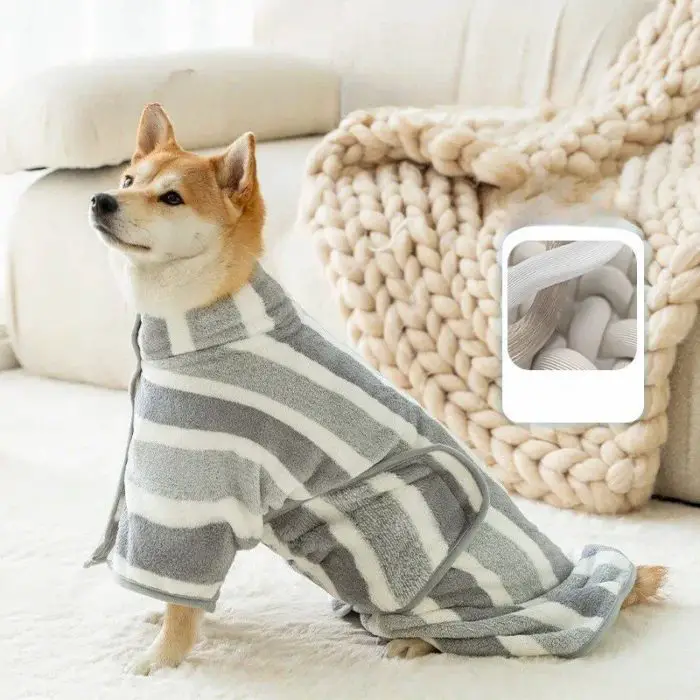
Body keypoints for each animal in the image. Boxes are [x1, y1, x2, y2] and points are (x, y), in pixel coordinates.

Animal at [85, 102, 664, 672]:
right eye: (129, 179)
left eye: (172, 197)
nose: (100, 198)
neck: (200, 320)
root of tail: (563, 580)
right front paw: (162, 625)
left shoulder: (195, 492)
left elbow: (181, 597)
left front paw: (161, 659)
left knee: (470, 635)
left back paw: (416, 643)